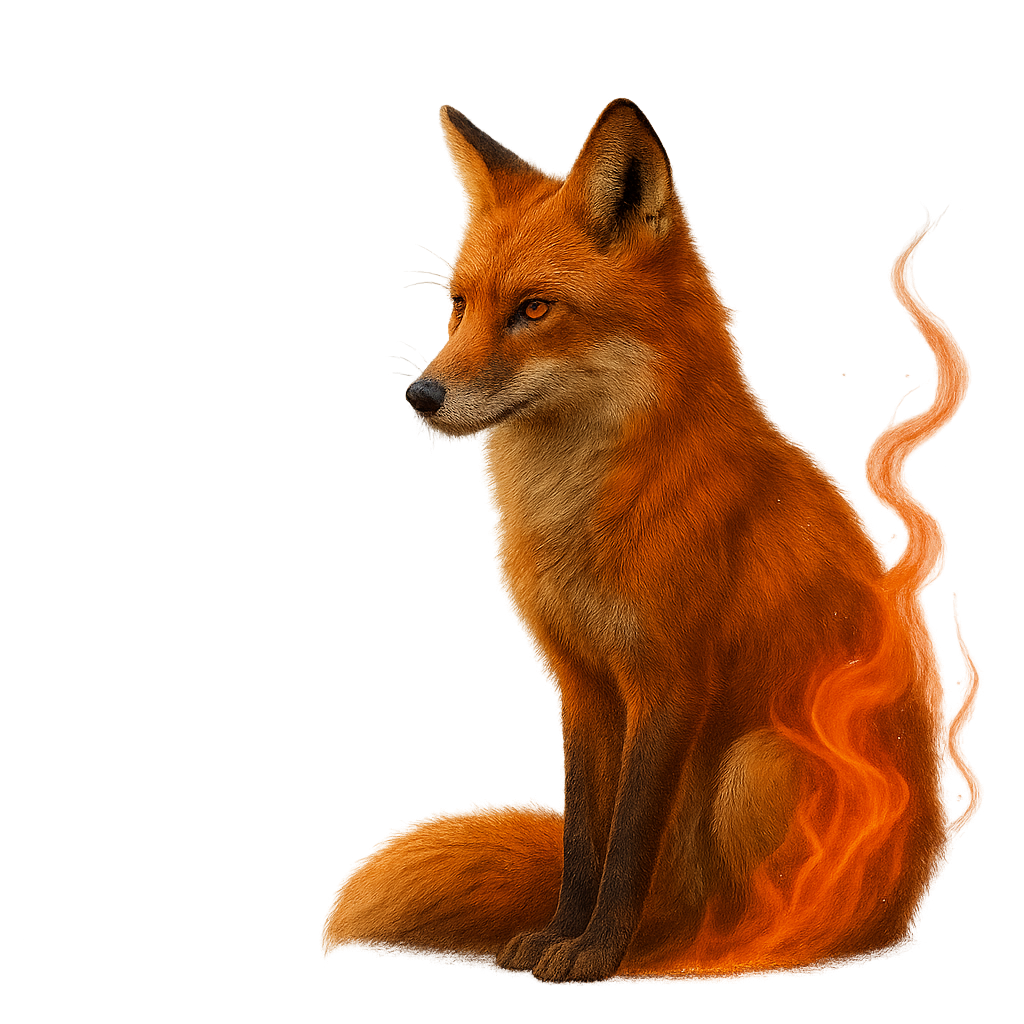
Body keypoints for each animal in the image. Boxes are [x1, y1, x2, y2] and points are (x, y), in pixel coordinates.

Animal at [325, 100, 959, 982]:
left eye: (534, 310)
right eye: (460, 306)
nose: (421, 394)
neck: (584, 518)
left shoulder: (671, 682)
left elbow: (626, 840)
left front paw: (595, 954)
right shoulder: (584, 683)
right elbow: (582, 839)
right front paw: (563, 933)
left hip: (755, 764)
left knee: (752, 913)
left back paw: (694, 956)